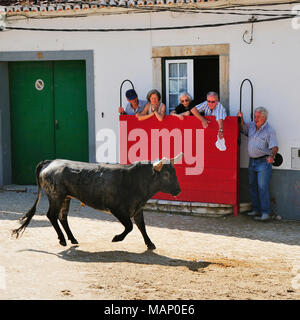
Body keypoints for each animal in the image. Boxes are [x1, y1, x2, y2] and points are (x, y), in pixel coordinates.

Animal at [12, 155, 183, 250]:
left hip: (65, 198)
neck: (135, 180)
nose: (178, 190)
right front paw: (117, 238)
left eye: (174, 172)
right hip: (55, 196)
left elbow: (142, 226)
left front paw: (150, 244)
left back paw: (72, 239)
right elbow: (130, 226)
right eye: (166, 174)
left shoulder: (137, 208)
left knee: (62, 217)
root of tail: (49, 163)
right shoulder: (117, 209)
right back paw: (62, 240)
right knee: (52, 216)